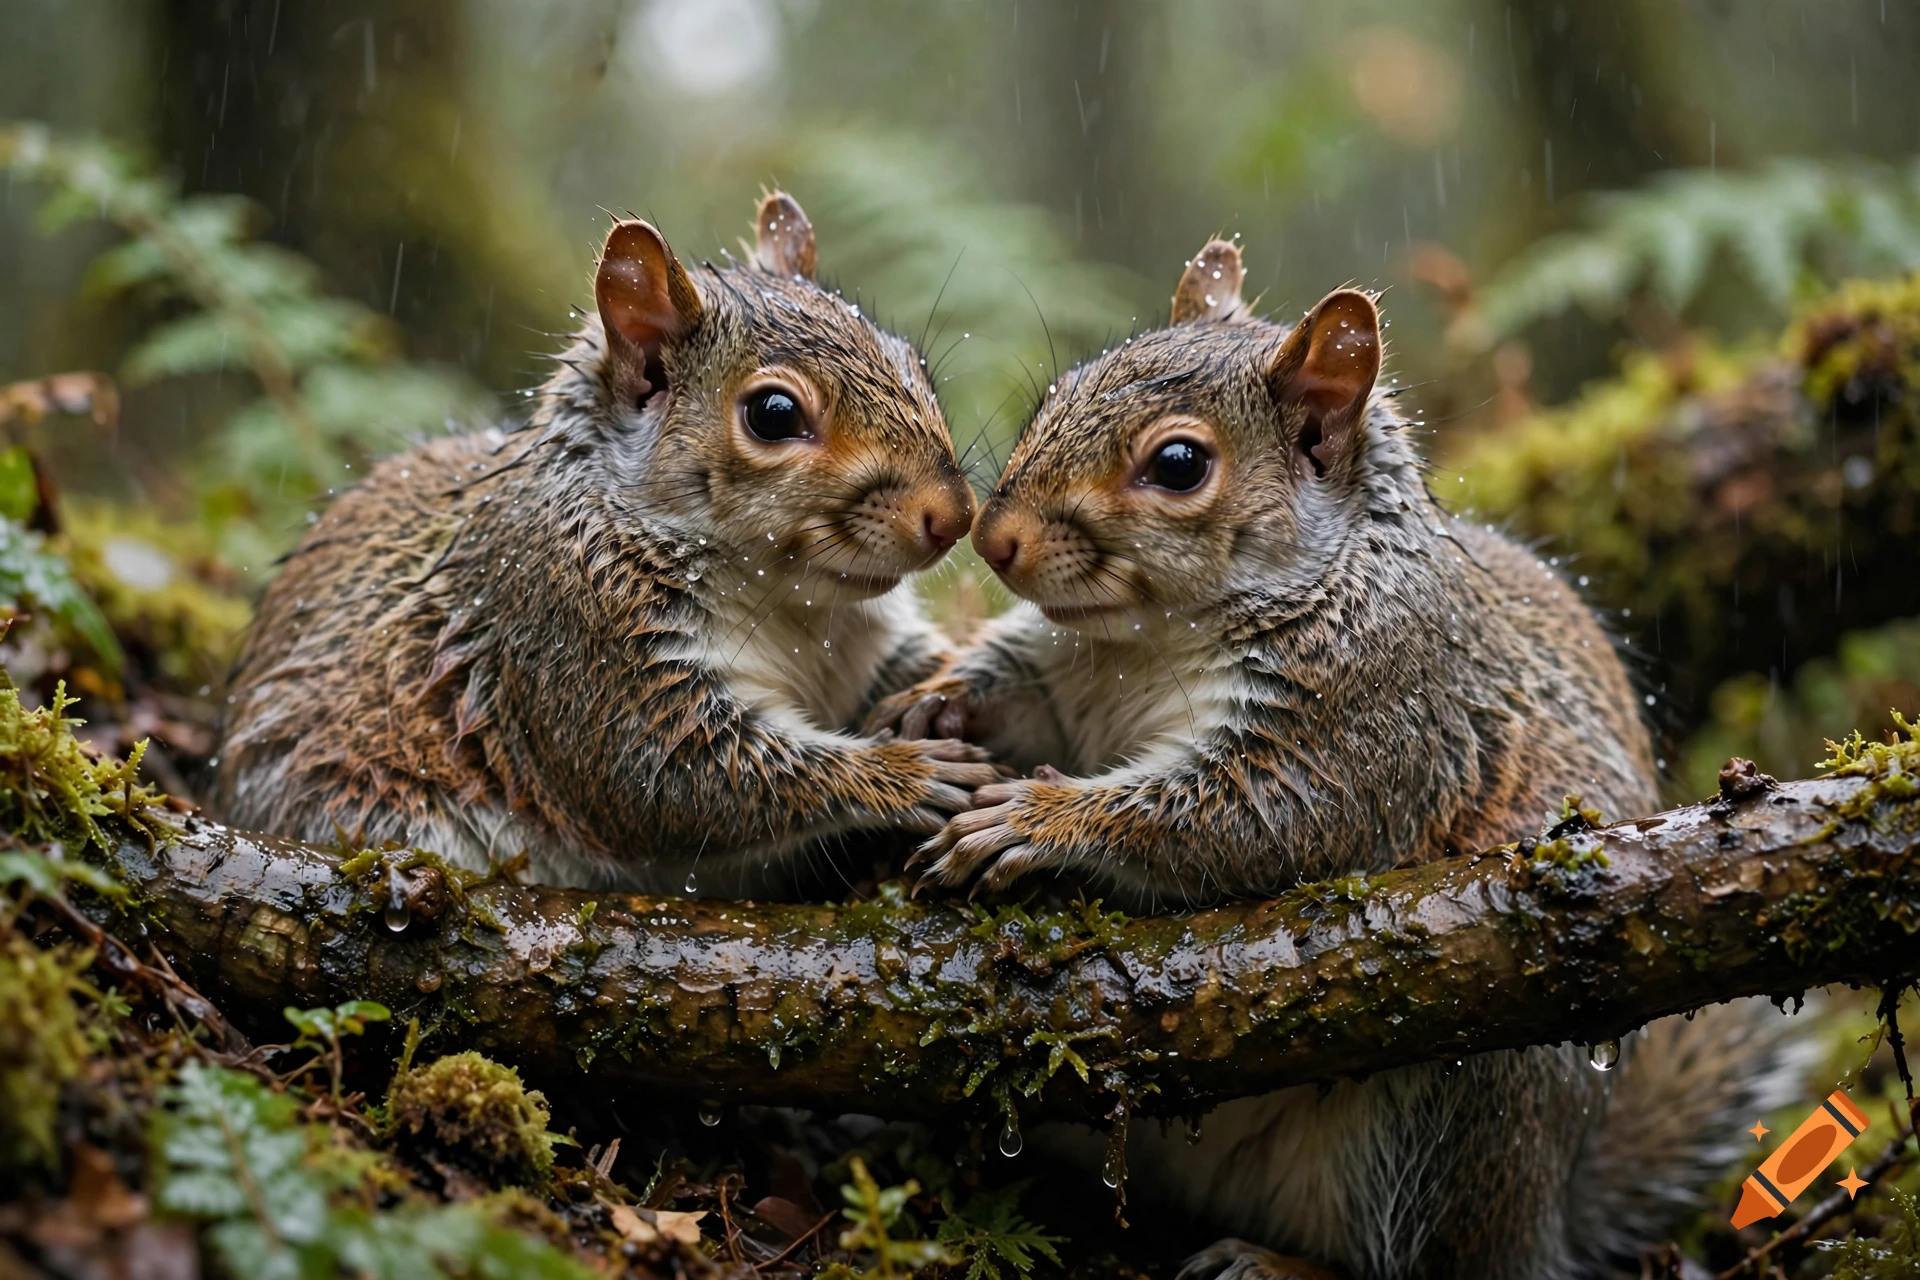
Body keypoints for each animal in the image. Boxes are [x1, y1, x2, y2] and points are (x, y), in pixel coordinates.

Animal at [212, 191, 1000, 895]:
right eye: (774, 414)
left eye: (913, 364)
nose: (954, 515)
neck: (791, 600)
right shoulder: (571, 637)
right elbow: (672, 778)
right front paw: (907, 772)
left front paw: (949, 684)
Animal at [872, 241, 1800, 1278]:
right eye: (1057, 393)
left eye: (1179, 465)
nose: (993, 540)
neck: (1147, 640)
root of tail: (1545, 1216)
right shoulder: (1064, 681)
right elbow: (1022, 701)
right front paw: (939, 697)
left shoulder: (1370, 717)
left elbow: (1251, 819)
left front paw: (1036, 821)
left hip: (1448, 1115)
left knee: (1427, 1263)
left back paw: (1276, 1261)